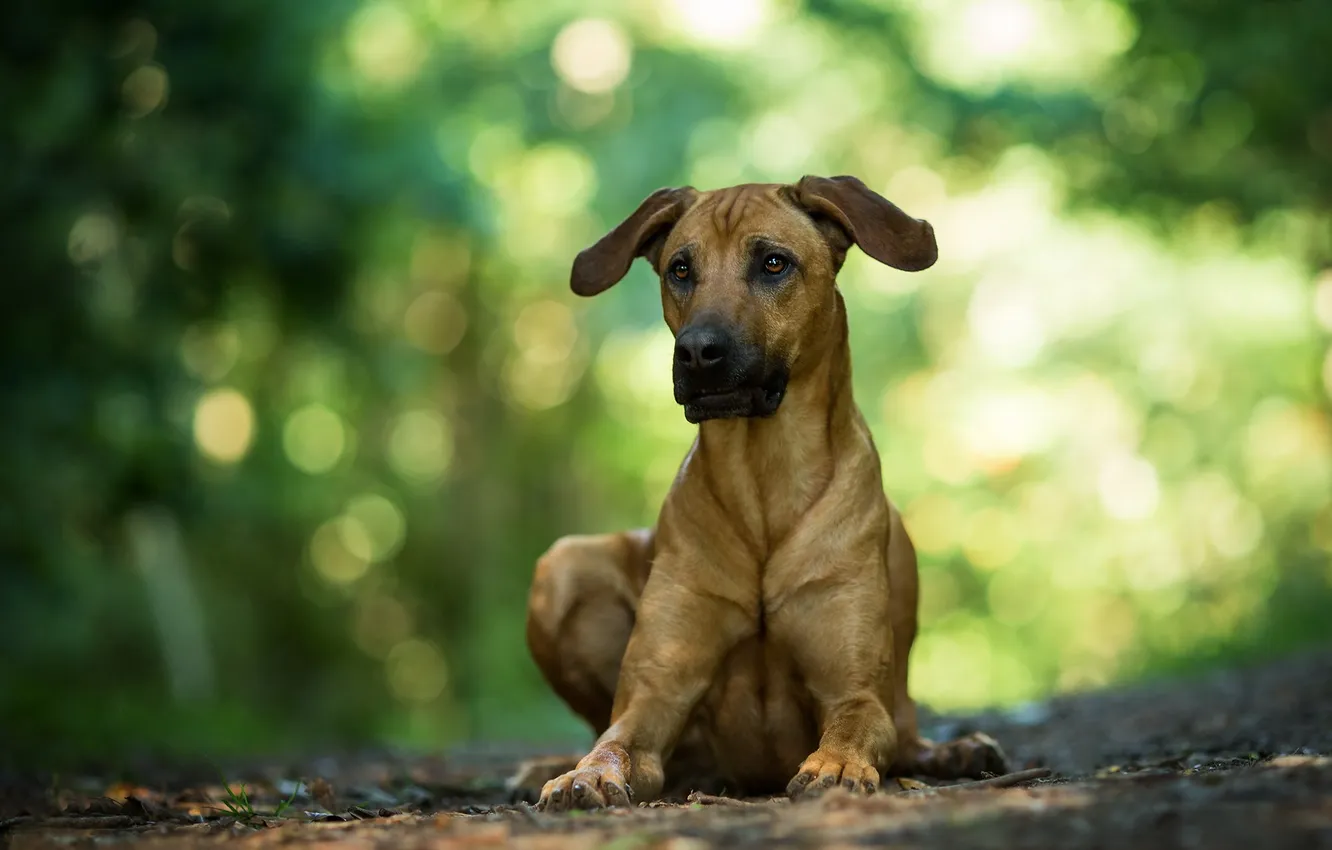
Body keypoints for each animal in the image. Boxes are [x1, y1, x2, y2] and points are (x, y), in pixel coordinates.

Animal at [516, 174, 1001, 810]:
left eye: (773, 263)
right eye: (680, 269)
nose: (697, 351)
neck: (762, 476)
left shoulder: (856, 692)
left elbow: (854, 724)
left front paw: (835, 765)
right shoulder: (655, 692)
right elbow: (615, 738)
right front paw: (588, 774)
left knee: (909, 732)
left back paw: (954, 751)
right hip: (565, 563)